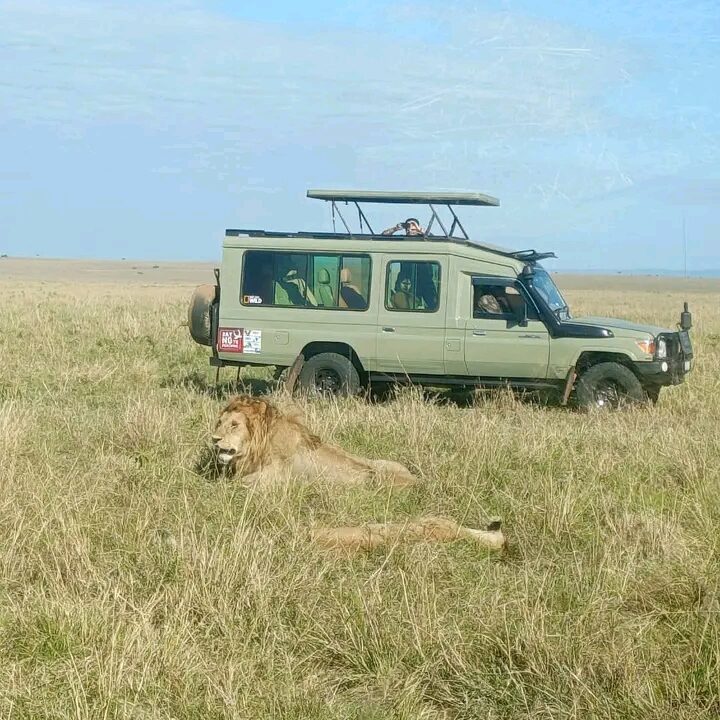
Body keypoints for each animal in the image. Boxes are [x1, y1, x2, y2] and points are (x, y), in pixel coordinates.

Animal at [208, 395, 506, 552]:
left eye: (234, 425)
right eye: (219, 422)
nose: (213, 439)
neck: (260, 443)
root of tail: (417, 482)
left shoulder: (265, 484)